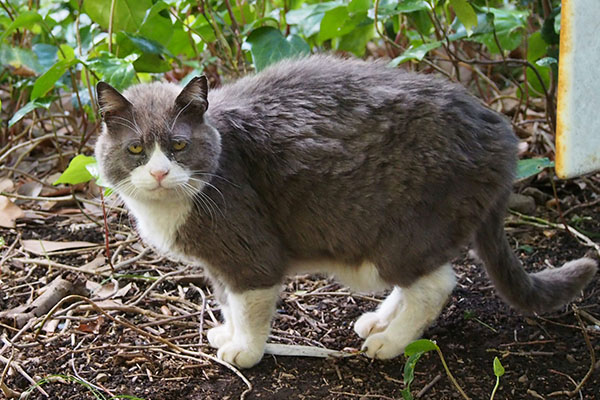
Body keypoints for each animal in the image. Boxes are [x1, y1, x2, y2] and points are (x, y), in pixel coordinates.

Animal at [94, 55, 596, 368]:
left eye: (178, 146)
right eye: (137, 149)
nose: (160, 172)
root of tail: (502, 132)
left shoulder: (249, 252)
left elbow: (250, 306)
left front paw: (246, 352)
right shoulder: (219, 264)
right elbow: (227, 301)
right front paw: (228, 334)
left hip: (405, 229)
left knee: (435, 284)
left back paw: (389, 342)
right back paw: (378, 320)